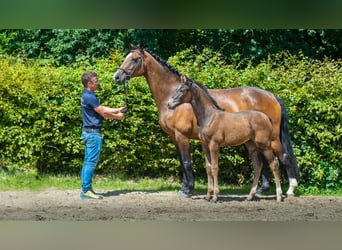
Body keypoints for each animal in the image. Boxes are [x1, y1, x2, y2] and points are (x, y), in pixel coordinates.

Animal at [113, 43, 300, 199]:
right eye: (126, 57)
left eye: (134, 59)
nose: (117, 77)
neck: (171, 94)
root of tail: (272, 96)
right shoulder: (174, 137)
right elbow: (183, 162)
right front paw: (187, 187)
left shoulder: (182, 136)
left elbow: (187, 162)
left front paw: (187, 190)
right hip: (256, 140)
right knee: (263, 162)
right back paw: (260, 190)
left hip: (272, 139)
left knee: (283, 157)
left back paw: (289, 190)